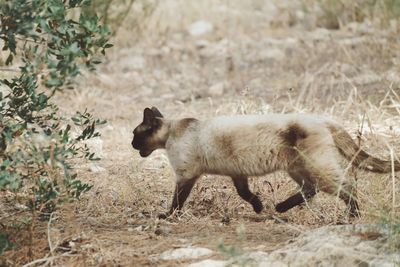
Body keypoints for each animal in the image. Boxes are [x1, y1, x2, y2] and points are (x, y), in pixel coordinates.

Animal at [132, 108, 400, 219]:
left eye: (136, 134)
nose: (131, 144)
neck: (172, 132)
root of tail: (322, 118)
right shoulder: (237, 174)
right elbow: (246, 194)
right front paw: (259, 207)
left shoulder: (185, 176)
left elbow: (177, 201)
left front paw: (166, 216)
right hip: (297, 168)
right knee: (310, 189)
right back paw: (280, 208)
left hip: (317, 167)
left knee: (346, 186)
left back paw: (352, 216)